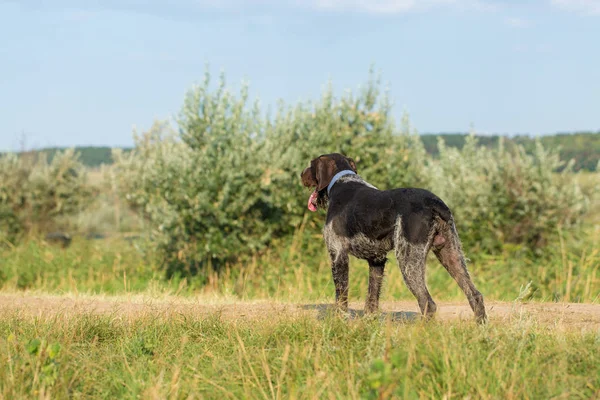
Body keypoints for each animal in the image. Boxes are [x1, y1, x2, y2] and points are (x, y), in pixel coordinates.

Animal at [300, 152, 488, 324]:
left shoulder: (338, 254)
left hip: (409, 261)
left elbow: (341, 294)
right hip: (451, 254)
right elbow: (372, 296)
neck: (341, 181)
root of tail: (435, 203)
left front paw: (339, 321)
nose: (301, 174)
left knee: (428, 303)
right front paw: (370, 322)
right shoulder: (377, 260)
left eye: (311, 165)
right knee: (475, 295)